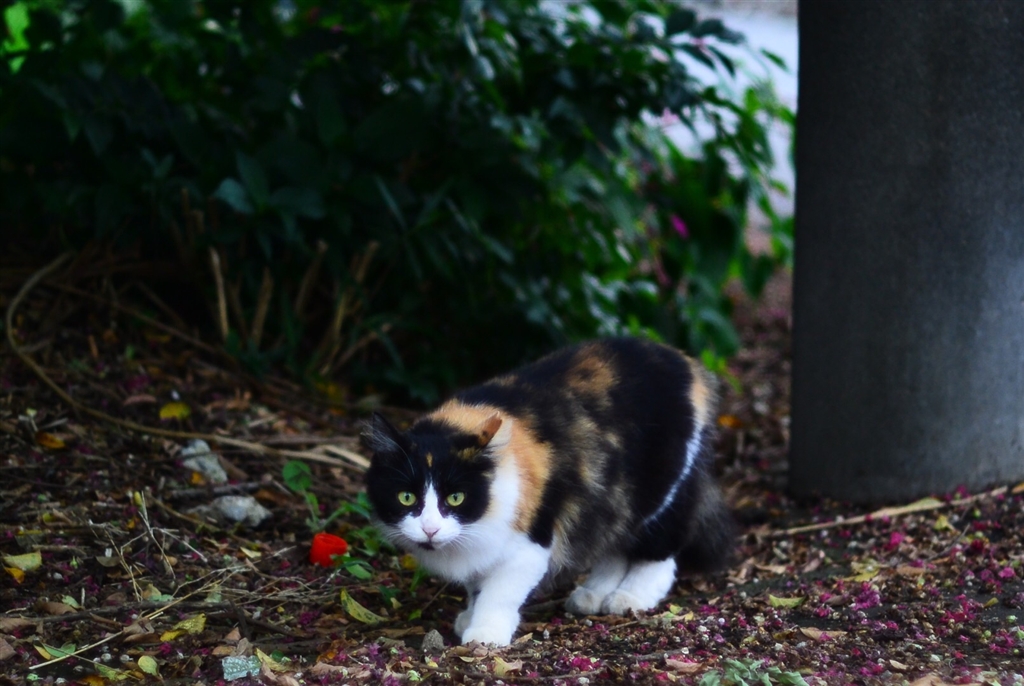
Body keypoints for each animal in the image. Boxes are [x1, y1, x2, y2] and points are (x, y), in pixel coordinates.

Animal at [364, 336, 734, 646]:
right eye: (407, 497)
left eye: (455, 498)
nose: (429, 529)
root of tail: (684, 360)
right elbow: (477, 584)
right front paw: (470, 614)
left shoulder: (530, 543)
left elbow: (499, 592)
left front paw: (485, 632)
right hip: (614, 498)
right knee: (614, 545)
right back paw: (594, 594)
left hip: (661, 490)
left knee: (659, 553)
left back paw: (630, 597)